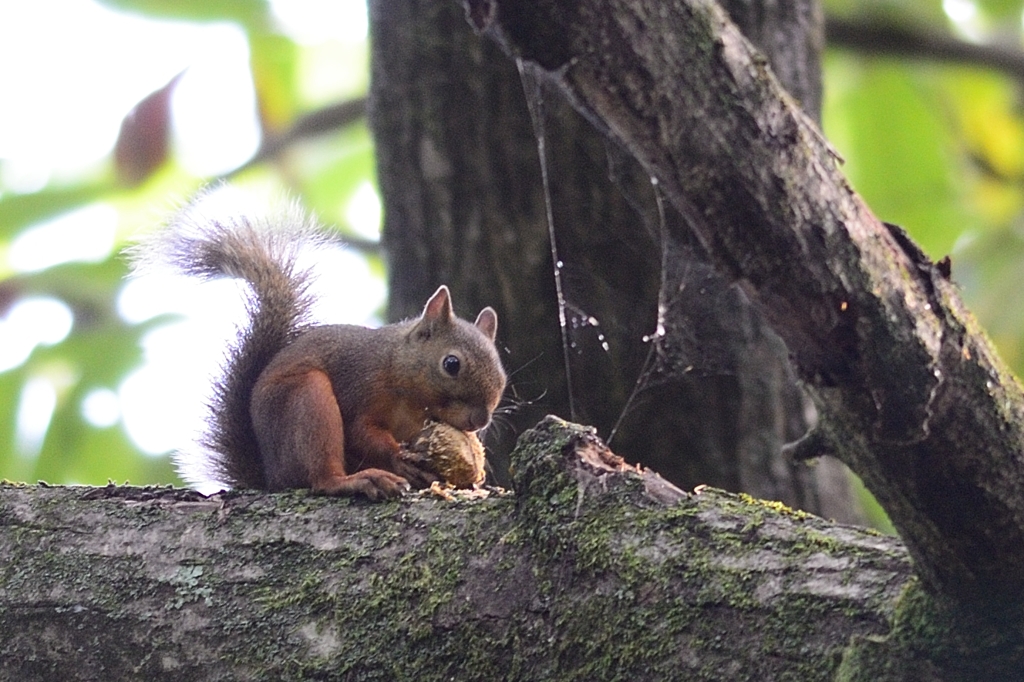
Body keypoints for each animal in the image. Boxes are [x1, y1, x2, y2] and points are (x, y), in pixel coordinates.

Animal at [136, 201, 503, 499]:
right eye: (451, 364)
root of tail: (273, 476)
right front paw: (399, 457)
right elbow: (359, 431)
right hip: (305, 400)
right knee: (321, 478)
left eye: (502, 378)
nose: (479, 421)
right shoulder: (361, 385)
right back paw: (358, 480)